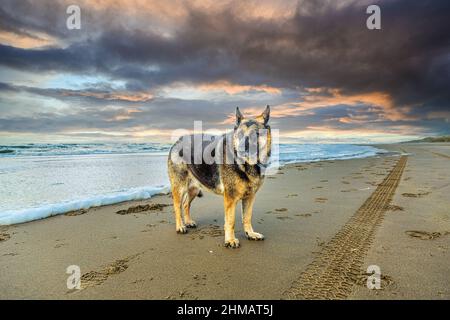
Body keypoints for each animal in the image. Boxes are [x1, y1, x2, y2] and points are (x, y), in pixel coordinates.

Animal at [166, 106, 268, 249]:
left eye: (256, 134)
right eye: (240, 135)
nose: (242, 149)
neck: (247, 165)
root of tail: (178, 140)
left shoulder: (250, 197)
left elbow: (247, 217)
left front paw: (250, 233)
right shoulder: (230, 199)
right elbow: (231, 221)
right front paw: (230, 240)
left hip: (194, 188)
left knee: (186, 204)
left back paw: (188, 221)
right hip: (179, 188)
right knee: (177, 206)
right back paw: (180, 226)